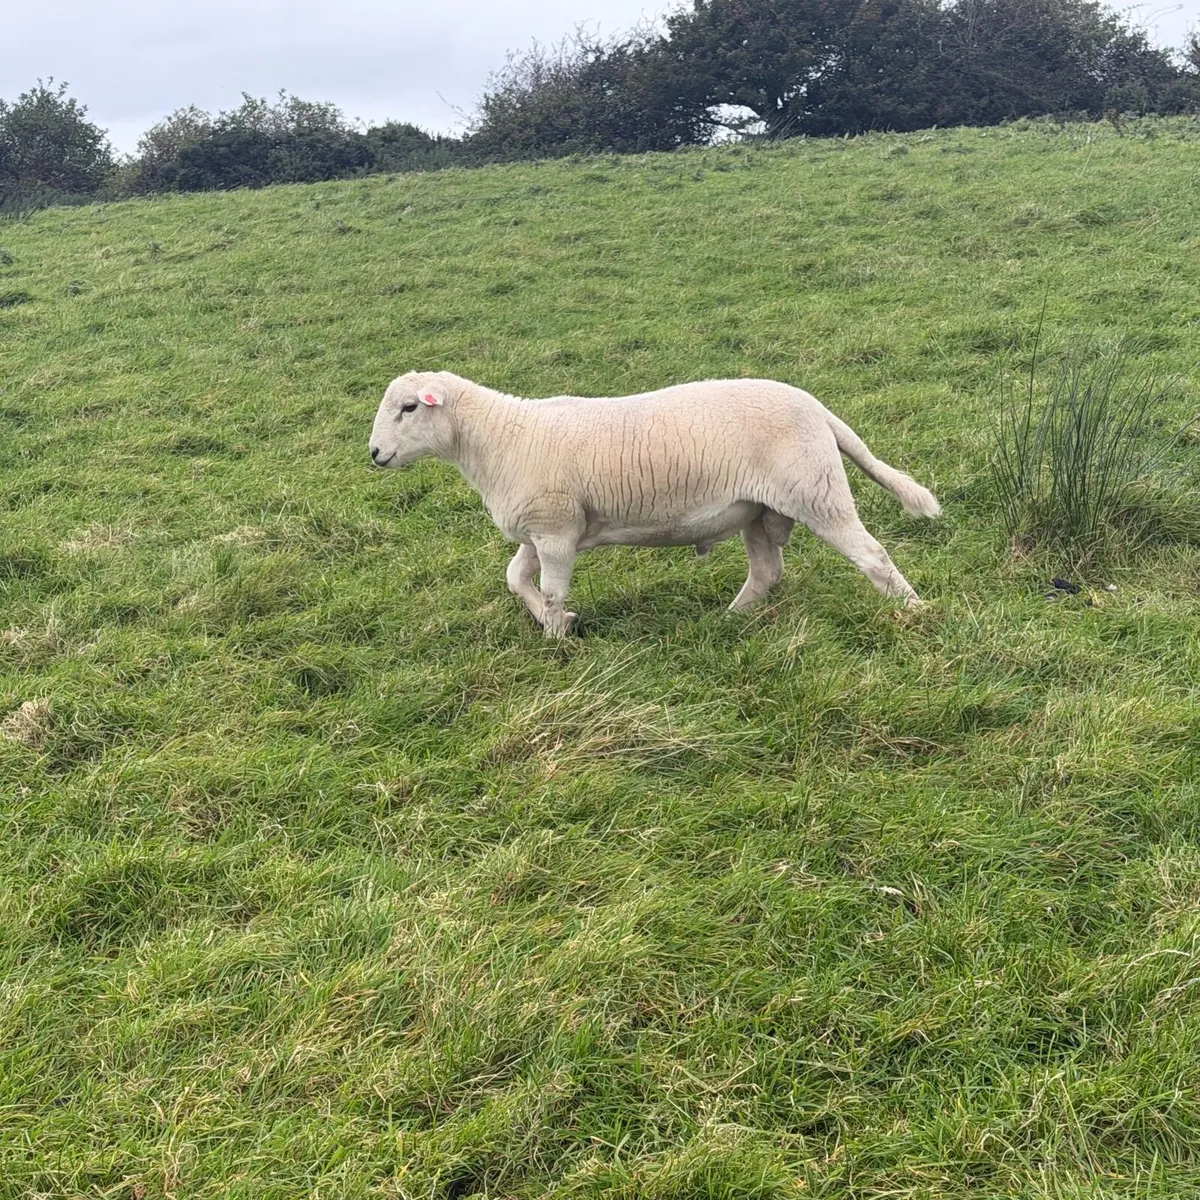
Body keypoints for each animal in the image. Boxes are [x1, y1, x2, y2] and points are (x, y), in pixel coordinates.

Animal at [369, 371, 940, 636]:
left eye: (408, 408)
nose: (374, 454)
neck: (498, 437)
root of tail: (816, 407)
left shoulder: (555, 531)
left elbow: (550, 590)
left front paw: (556, 636)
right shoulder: (545, 527)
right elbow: (515, 579)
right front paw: (562, 624)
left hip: (816, 493)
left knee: (874, 557)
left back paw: (917, 613)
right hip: (756, 510)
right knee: (766, 572)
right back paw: (730, 618)